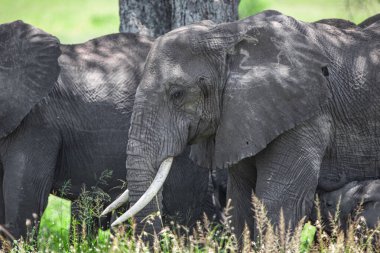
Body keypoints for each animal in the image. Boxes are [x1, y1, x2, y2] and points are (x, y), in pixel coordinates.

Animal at [105, 9, 380, 241]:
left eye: (177, 94)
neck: (228, 35)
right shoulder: (244, 118)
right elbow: (240, 199)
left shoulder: (307, 114)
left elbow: (280, 202)